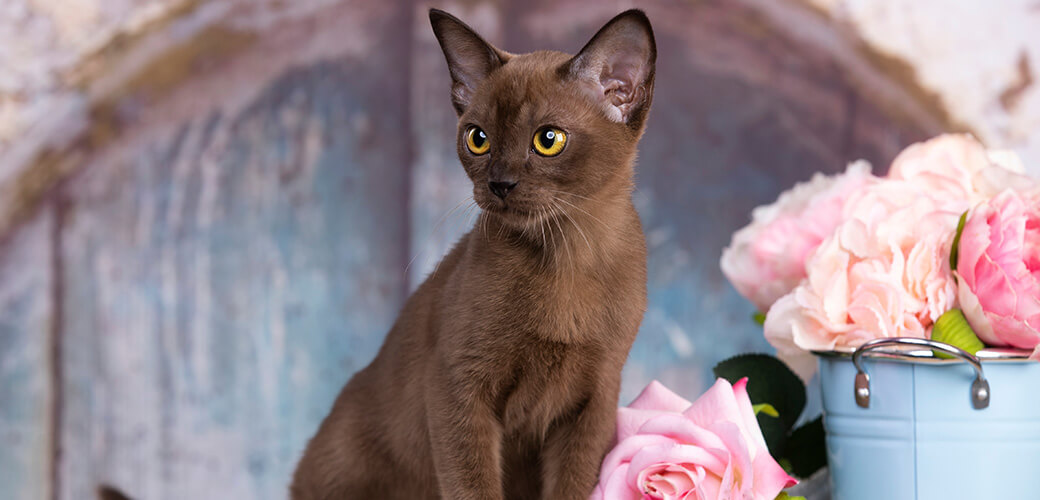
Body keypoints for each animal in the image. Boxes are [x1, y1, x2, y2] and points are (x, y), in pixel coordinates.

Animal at [289, 8, 653, 498]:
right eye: (478, 138)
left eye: (549, 139)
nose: (500, 183)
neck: (565, 256)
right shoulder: (458, 388)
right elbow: (473, 486)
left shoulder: (592, 402)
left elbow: (574, 486)